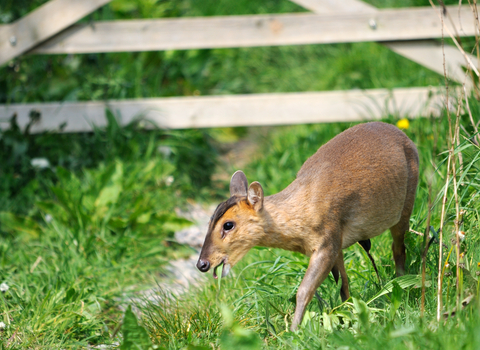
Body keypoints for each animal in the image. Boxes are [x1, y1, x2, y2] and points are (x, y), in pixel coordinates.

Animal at [197, 122, 418, 330]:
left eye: (228, 225)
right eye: (209, 221)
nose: (202, 264)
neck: (300, 217)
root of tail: (405, 136)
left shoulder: (326, 242)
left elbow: (304, 290)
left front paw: (292, 331)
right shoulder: (336, 242)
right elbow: (342, 283)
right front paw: (346, 314)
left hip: (407, 203)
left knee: (399, 248)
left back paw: (403, 287)